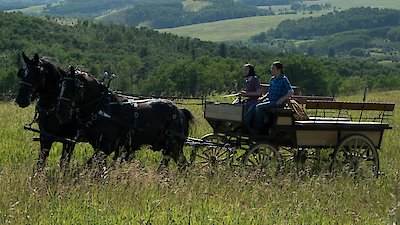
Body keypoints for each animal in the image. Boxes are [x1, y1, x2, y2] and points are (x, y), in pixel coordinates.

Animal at [56, 67, 194, 171]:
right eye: (61, 85)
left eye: (74, 88)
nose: (60, 112)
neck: (103, 107)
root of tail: (180, 112)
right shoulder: (100, 147)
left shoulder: (106, 147)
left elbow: (90, 164)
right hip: (169, 149)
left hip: (174, 147)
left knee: (182, 166)